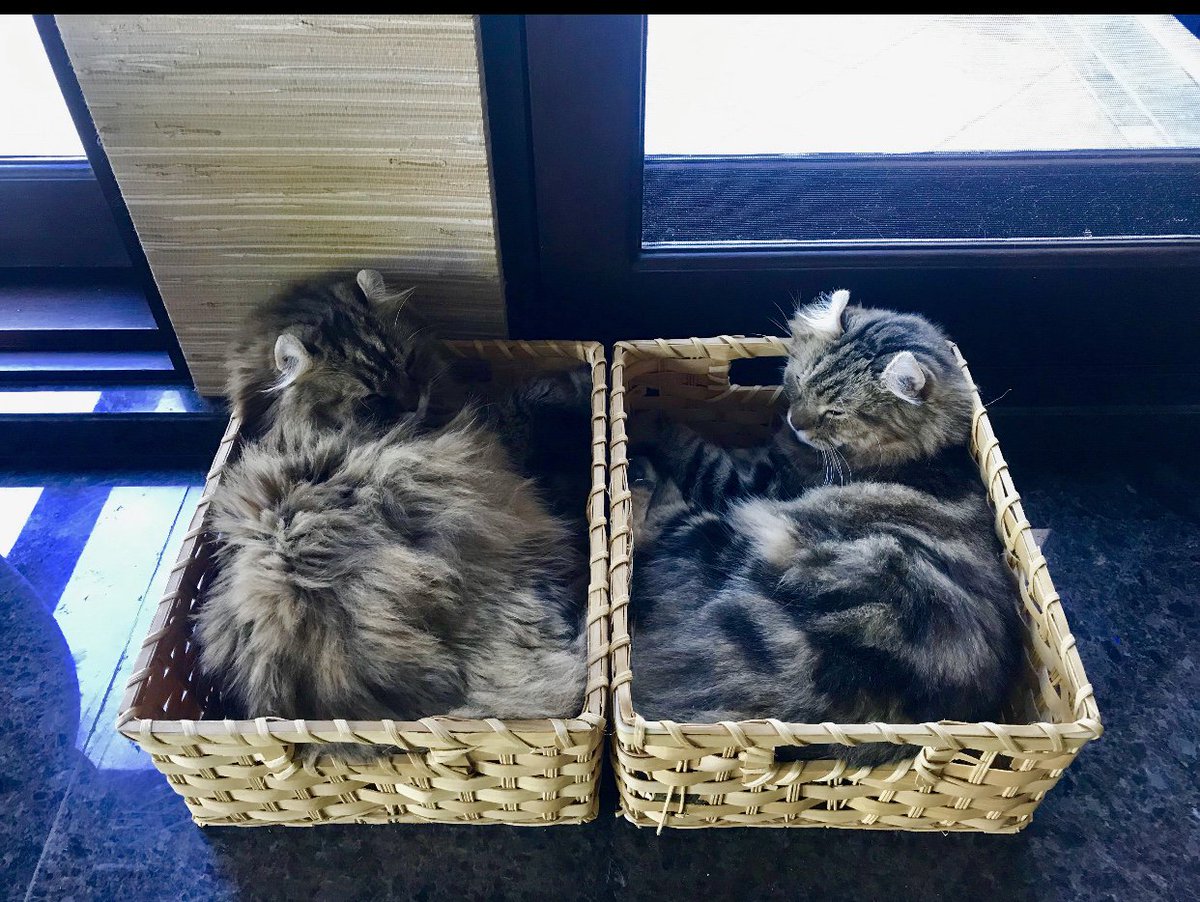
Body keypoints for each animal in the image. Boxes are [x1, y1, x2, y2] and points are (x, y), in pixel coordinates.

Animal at [628, 290, 1022, 767]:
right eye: (800, 383)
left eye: (836, 411)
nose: (795, 421)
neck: (923, 452)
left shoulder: (752, 482)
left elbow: (693, 449)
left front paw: (646, 417)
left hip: (733, 535)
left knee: (657, 523)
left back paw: (639, 474)